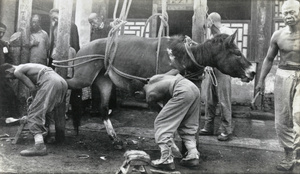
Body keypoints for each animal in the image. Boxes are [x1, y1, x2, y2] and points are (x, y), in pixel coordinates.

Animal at [58, 30, 255, 148]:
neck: (183, 57)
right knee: (65, 83)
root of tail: (83, 47)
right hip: (83, 77)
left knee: (104, 109)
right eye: (237, 53)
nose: (252, 71)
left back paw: (115, 139)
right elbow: (168, 120)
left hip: (104, 80)